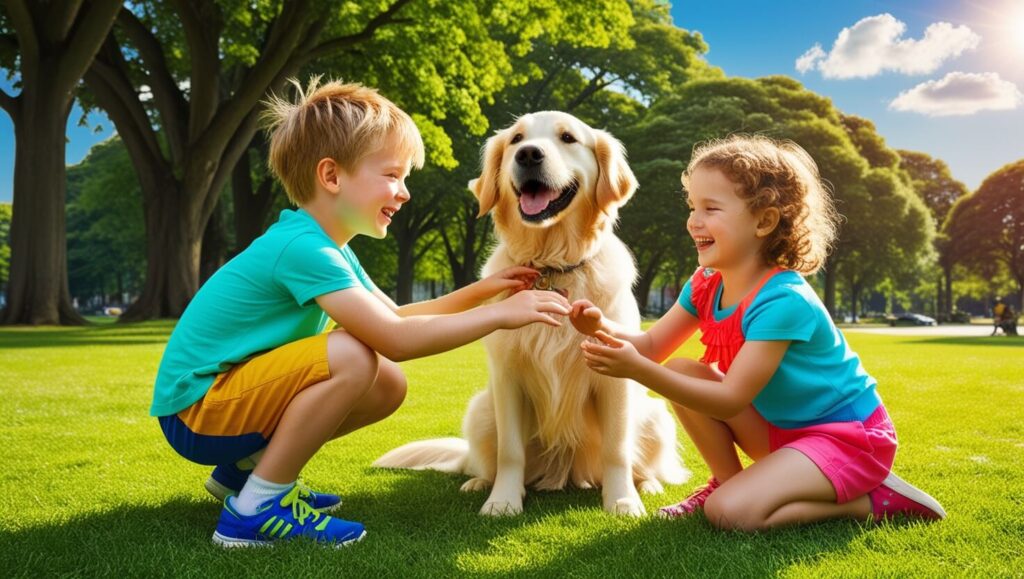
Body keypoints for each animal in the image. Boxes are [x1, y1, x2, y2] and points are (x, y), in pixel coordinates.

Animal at [376, 110, 688, 512]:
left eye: (568, 138)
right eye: (516, 139)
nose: (528, 155)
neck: (551, 265)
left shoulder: (613, 374)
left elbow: (617, 450)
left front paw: (622, 501)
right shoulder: (508, 375)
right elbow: (510, 452)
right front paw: (503, 502)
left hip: (656, 414)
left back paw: (647, 484)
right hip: (481, 410)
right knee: (485, 460)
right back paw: (479, 482)